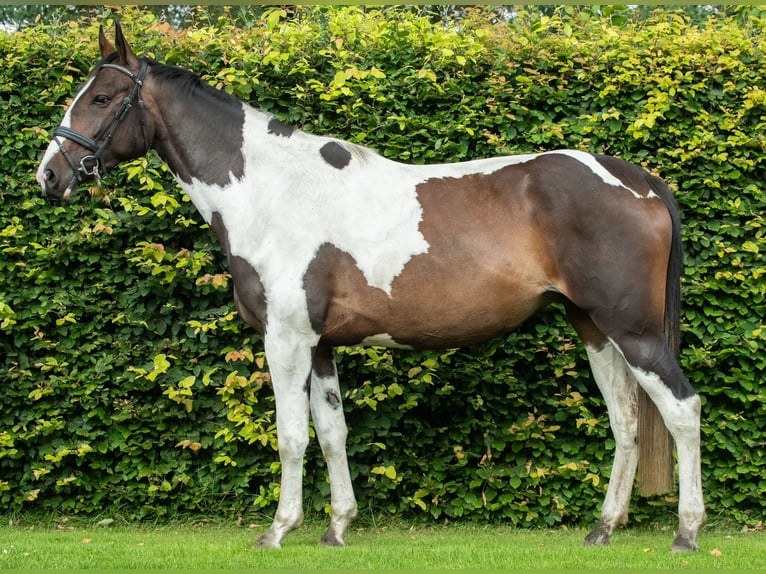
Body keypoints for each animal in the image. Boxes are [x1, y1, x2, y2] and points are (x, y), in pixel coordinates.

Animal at [37, 23, 708, 552]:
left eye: (101, 97)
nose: (49, 175)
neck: (272, 192)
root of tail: (638, 180)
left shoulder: (285, 341)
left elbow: (290, 437)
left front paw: (278, 530)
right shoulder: (320, 345)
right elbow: (332, 433)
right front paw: (337, 527)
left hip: (635, 333)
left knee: (681, 409)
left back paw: (686, 532)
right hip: (594, 328)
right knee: (625, 419)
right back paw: (604, 528)